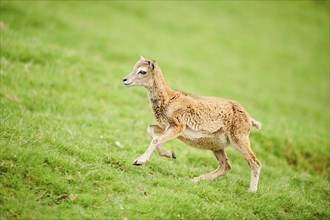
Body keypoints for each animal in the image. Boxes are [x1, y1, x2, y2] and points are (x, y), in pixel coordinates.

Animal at [122, 57, 262, 192]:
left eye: (142, 71)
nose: (125, 80)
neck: (169, 99)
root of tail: (249, 118)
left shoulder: (177, 127)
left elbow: (156, 139)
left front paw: (139, 161)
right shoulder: (165, 127)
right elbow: (151, 130)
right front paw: (171, 154)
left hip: (239, 140)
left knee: (255, 162)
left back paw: (251, 191)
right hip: (217, 147)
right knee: (225, 166)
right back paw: (194, 180)